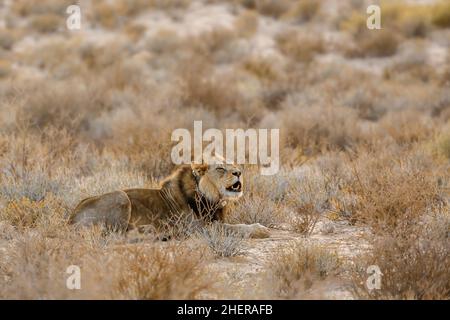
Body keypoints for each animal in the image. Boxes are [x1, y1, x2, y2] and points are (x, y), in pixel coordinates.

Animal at [68, 162, 268, 238]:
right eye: (220, 168)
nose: (239, 172)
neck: (212, 198)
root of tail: (70, 219)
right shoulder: (199, 228)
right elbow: (235, 228)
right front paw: (261, 230)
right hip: (120, 195)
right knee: (115, 236)